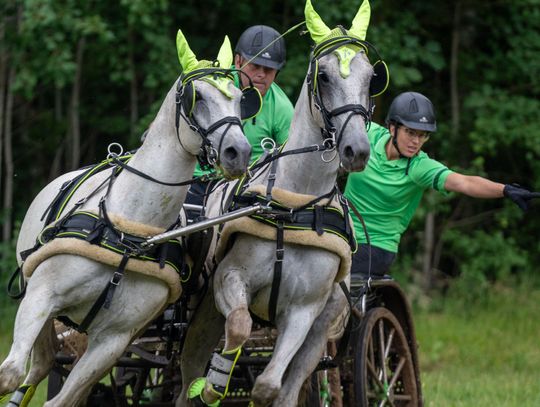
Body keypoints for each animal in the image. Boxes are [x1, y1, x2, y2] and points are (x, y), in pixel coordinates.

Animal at [0, 29, 253, 407]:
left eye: (239, 99)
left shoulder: (113, 340)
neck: (131, 230)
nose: (239, 152)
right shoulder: (41, 296)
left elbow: (62, 400)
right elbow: (10, 374)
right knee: (37, 366)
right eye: (198, 97)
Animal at [177, 1, 384, 406]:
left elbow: (269, 386)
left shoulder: (303, 313)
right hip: (204, 311)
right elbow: (239, 327)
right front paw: (213, 384)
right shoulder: (230, 278)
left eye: (371, 79)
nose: (356, 149)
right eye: (324, 76)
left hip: (323, 331)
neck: (296, 204)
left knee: (292, 381)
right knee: (189, 365)